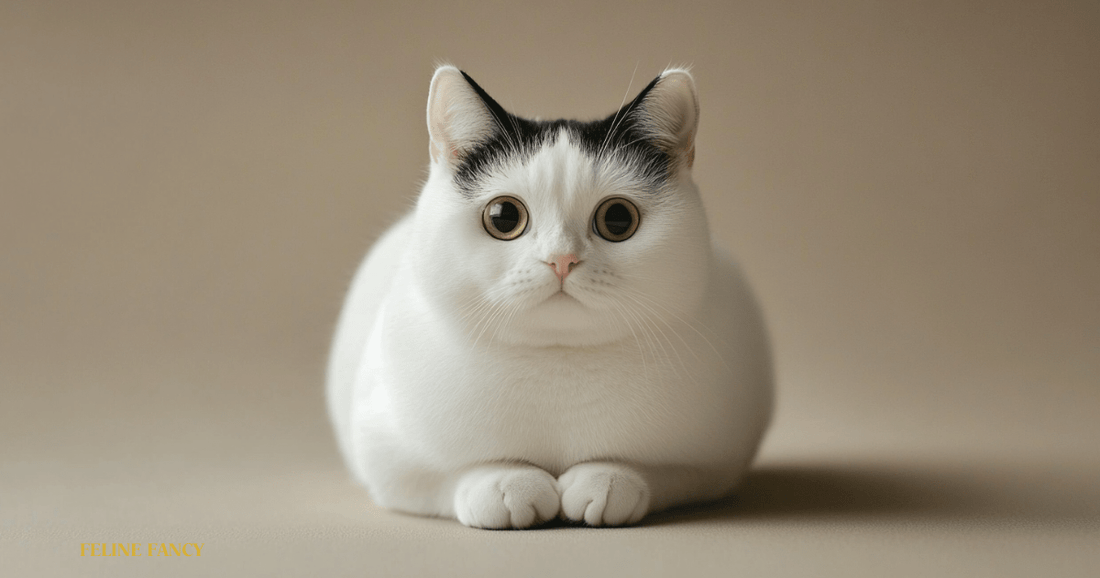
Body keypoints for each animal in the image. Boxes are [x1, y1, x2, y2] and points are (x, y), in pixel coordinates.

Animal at [325, 64, 774, 526]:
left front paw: (608, 480)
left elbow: (665, 472)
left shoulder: (715, 462)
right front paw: (506, 483)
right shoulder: (387, 457)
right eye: (503, 217)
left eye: (618, 219)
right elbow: (449, 474)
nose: (562, 259)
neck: (559, 364)